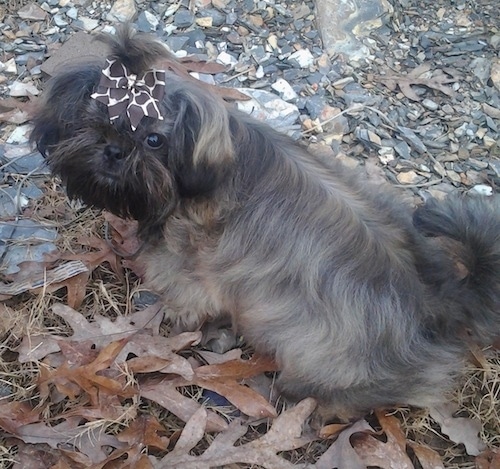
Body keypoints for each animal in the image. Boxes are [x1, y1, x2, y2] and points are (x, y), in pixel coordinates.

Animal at [32, 27, 500, 422]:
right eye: (94, 120)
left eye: (154, 140)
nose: (114, 149)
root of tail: (440, 299)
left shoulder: (193, 267)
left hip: (322, 354)